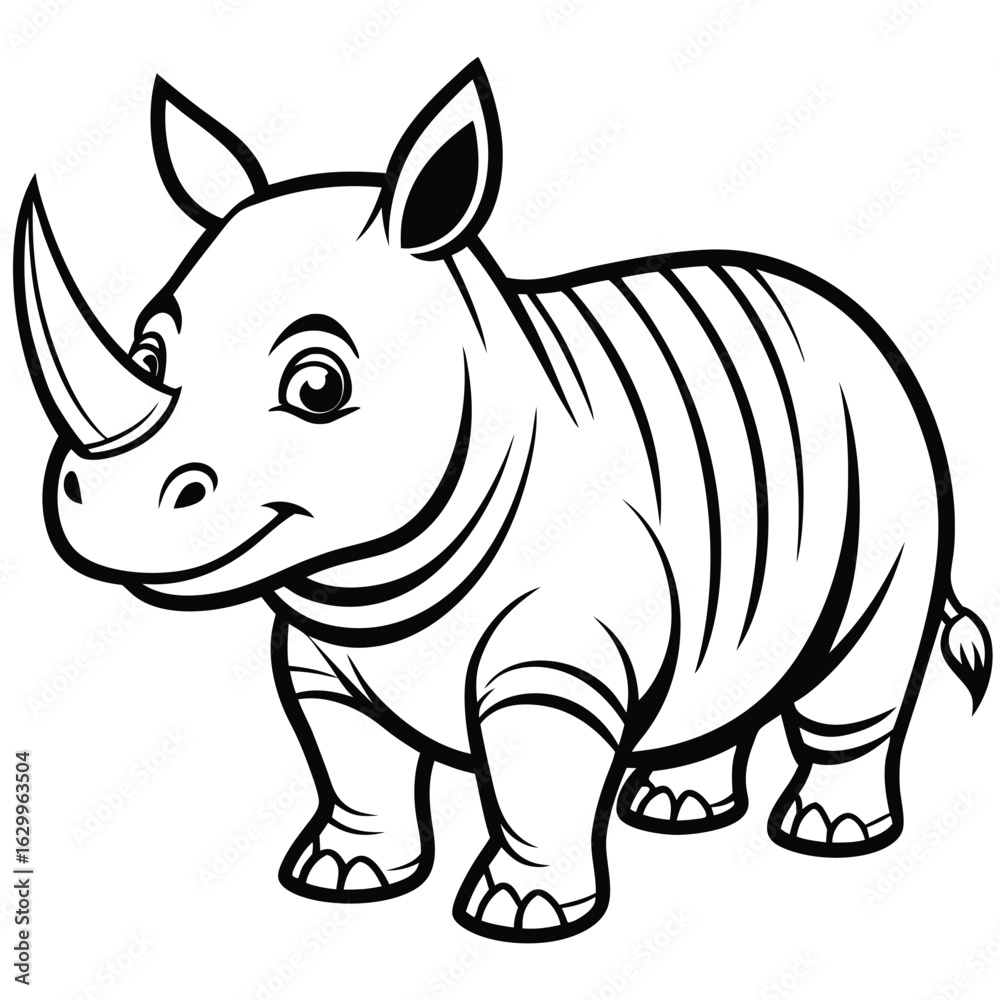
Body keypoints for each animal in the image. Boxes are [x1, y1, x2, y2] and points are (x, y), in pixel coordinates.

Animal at [15, 60, 991, 942]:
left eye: (319, 387)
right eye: (149, 353)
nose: (105, 504)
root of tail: (856, 321)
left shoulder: (557, 658)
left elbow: (533, 774)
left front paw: (523, 914)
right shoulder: (327, 653)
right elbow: (352, 762)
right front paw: (343, 875)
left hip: (886, 449)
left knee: (859, 660)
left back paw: (829, 834)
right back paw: (677, 806)